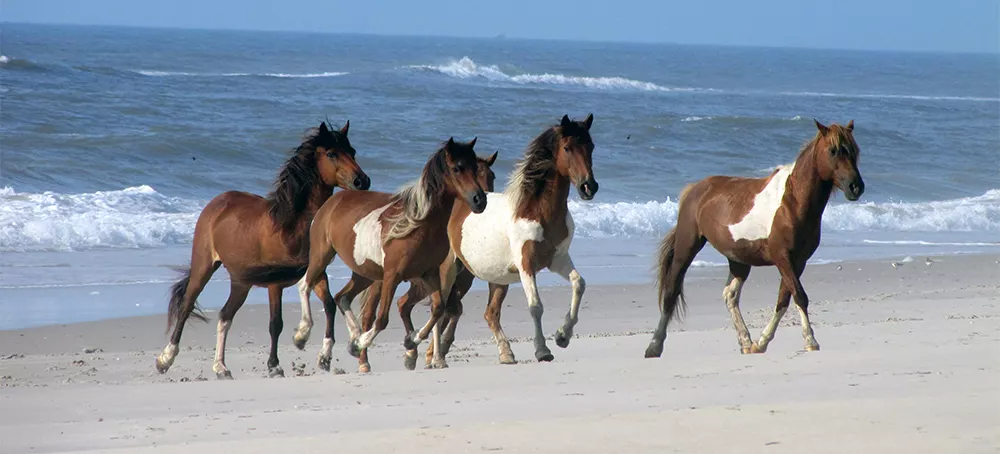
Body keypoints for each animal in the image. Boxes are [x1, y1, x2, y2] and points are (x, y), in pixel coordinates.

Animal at [156, 120, 372, 380]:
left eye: (352, 151)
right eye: (331, 153)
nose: (362, 181)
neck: (290, 225)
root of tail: (217, 202)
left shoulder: (317, 272)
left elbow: (329, 305)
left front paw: (324, 356)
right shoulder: (275, 283)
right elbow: (275, 323)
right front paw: (277, 363)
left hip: (241, 282)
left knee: (225, 315)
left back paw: (221, 367)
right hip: (204, 266)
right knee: (187, 305)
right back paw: (165, 359)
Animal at [244, 138, 490, 372]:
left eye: (474, 166)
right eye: (457, 168)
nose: (480, 200)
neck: (419, 224)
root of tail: (331, 202)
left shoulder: (428, 273)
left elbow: (437, 309)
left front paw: (410, 342)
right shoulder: (392, 276)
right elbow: (382, 319)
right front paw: (362, 344)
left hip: (364, 273)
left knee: (341, 297)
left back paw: (342, 344)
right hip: (323, 256)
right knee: (306, 285)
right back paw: (304, 336)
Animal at [442, 113, 596, 366]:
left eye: (591, 146)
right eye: (567, 148)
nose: (588, 187)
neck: (536, 212)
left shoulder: (558, 259)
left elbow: (579, 284)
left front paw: (563, 336)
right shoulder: (526, 265)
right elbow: (535, 306)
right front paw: (542, 350)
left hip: (492, 279)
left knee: (485, 312)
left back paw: (503, 353)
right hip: (452, 270)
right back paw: (430, 356)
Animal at [644, 119, 864, 358]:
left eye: (855, 151)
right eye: (833, 150)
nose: (856, 187)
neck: (792, 202)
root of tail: (695, 189)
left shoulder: (798, 261)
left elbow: (784, 299)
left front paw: (762, 342)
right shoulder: (783, 257)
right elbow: (799, 295)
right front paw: (810, 340)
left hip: (738, 259)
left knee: (730, 295)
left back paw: (746, 342)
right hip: (687, 247)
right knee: (671, 291)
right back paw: (654, 346)